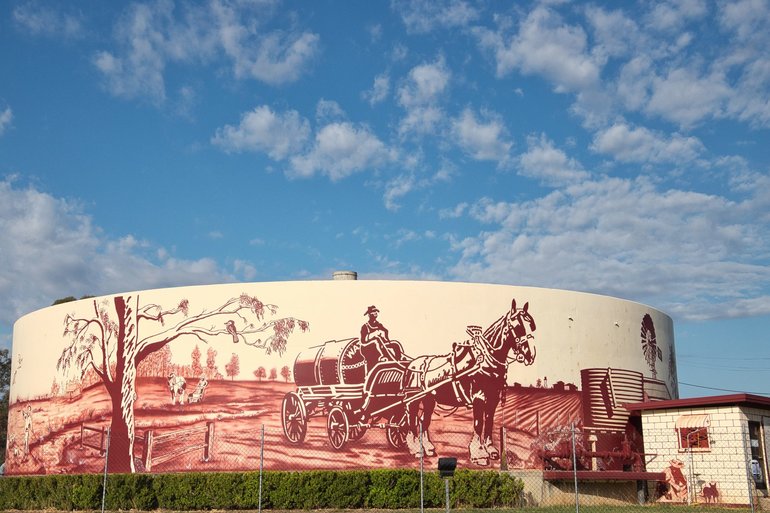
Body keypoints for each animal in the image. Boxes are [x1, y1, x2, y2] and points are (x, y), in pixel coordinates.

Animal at [402, 298, 536, 466]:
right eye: (517, 327)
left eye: (532, 326)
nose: (531, 355)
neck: (483, 360)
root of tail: (411, 364)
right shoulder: (479, 397)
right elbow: (478, 424)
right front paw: (479, 454)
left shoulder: (492, 399)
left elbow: (489, 423)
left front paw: (491, 450)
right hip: (413, 400)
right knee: (412, 422)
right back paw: (415, 449)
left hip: (429, 400)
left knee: (422, 421)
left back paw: (428, 447)